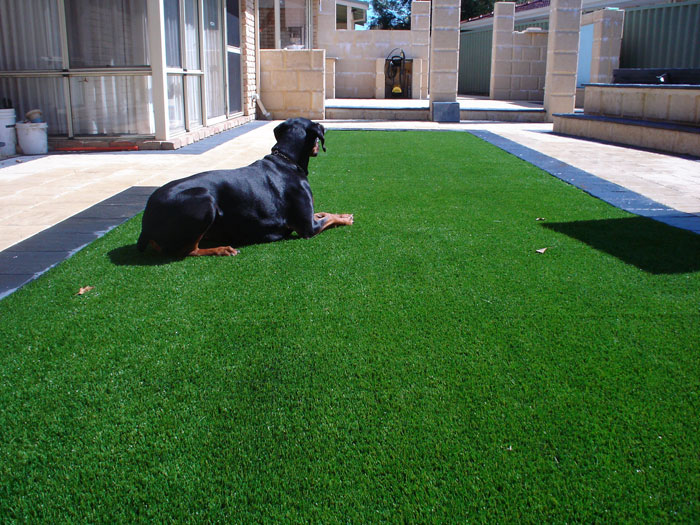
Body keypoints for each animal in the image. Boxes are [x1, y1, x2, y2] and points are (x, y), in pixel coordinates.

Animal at [137, 119, 352, 258]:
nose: (318, 148)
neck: (286, 161)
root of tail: (146, 220)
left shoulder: (307, 216)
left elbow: (323, 214)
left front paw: (342, 214)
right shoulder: (307, 228)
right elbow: (327, 220)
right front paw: (345, 219)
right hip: (205, 199)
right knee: (187, 250)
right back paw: (222, 249)